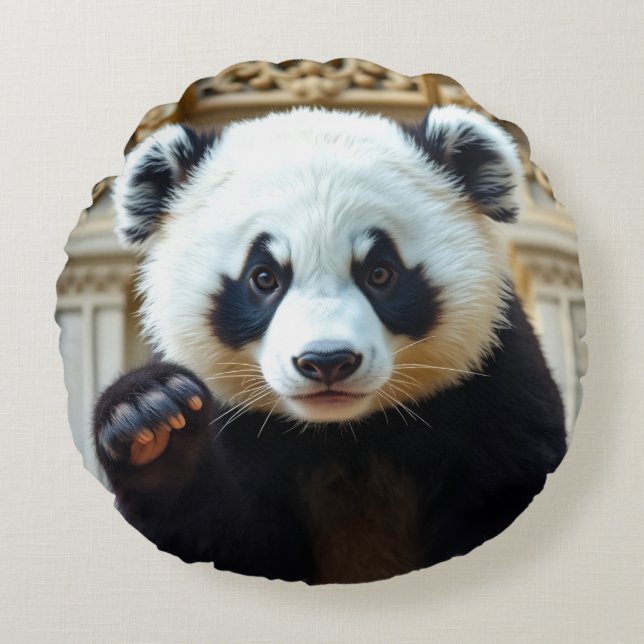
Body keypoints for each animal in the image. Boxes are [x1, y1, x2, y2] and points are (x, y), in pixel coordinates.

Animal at [93, 105, 567, 585]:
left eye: (380, 273)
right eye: (264, 277)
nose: (327, 361)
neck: (343, 433)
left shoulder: (493, 387)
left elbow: (507, 480)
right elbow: (220, 532)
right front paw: (152, 419)